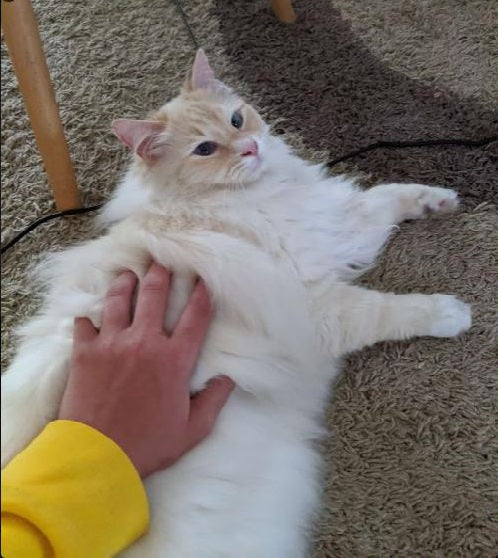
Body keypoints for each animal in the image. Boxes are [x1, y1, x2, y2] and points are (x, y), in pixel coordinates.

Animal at [0, 50, 470, 556]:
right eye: (206, 149)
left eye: (237, 120)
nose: (250, 148)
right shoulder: (317, 307)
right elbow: (395, 308)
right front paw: (454, 312)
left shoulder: (335, 224)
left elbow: (388, 196)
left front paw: (440, 200)